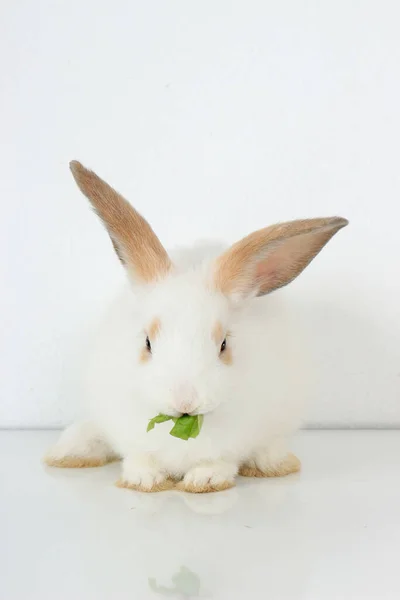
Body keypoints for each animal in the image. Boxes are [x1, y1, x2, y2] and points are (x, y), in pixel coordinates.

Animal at [45, 161, 348, 492]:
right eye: (147, 342)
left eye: (224, 344)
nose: (185, 401)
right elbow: (139, 457)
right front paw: (144, 480)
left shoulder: (238, 439)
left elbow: (220, 462)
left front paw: (204, 480)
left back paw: (272, 464)